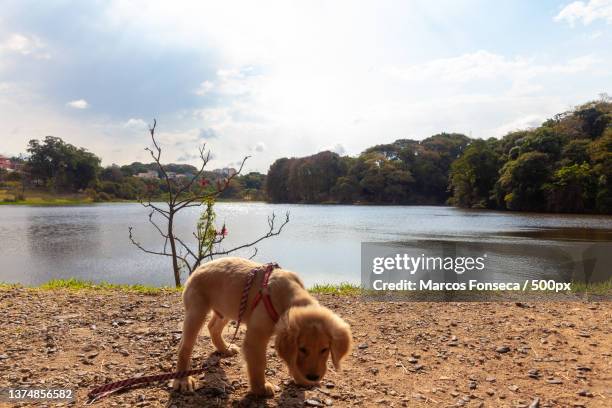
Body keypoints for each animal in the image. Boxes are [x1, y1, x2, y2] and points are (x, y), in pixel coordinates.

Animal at [172, 258, 354, 396]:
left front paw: (301, 379)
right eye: (302, 349)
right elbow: (259, 364)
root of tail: (197, 269)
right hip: (197, 311)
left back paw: (224, 349)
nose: (313, 377)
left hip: (228, 308)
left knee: (213, 327)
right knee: (184, 347)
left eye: (325, 350)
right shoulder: (256, 337)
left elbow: (292, 360)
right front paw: (260, 389)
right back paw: (182, 380)